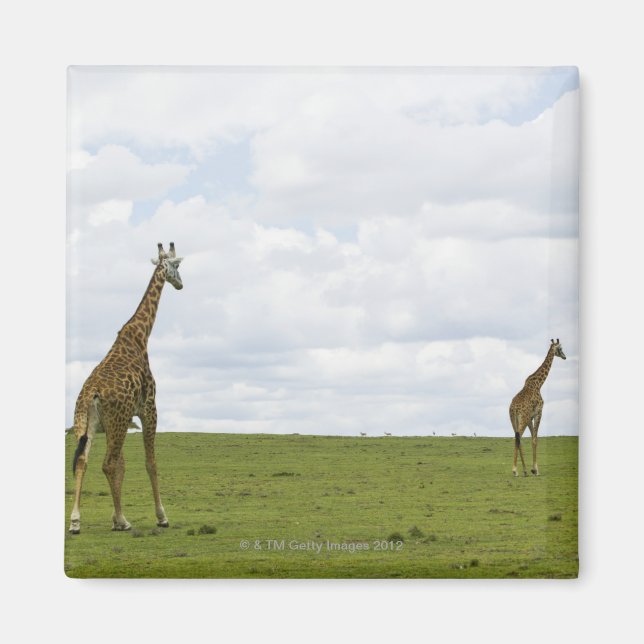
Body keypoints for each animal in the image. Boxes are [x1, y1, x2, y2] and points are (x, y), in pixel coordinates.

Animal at [68, 242, 184, 534]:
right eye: (177, 265)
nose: (180, 284)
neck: (141, 335)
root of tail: (91, 396)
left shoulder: (124, 419)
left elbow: (123, 465)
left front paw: (113, 517)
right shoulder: (148, 408)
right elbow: (149, 462)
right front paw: (161, 517)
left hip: (85, 423)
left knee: (83, 461)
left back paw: (76, 521)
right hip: (117, 422)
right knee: (107, 463)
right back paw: (123, 521)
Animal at [509, 339, 566, 477]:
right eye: (560, 348)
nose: (564, 356)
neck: (539, 383)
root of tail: (513, 408)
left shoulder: (530, 417)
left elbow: (532, 439)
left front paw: (532, 469)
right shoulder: (539, 413)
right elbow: (535, 439)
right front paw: (536, 470)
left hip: (514, 420)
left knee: (517, 438)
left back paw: (522, 470)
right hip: (522, 419)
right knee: (518, 438)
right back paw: (516, 470)